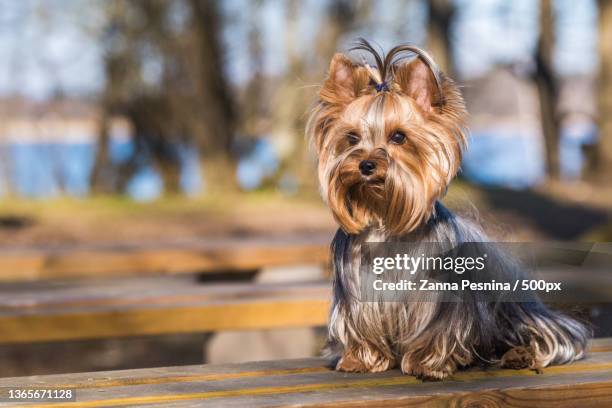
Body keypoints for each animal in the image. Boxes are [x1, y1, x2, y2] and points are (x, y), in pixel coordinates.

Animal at [306, 39, 588, 380]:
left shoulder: (438, 299)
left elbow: (436, 330)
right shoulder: (358, 294)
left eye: (398, 136)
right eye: (351, 138)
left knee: (544, 339)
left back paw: (520, 355)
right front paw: (361, 359)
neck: (386, 219)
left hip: (522, 316)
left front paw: (427, 364)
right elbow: (361, 326)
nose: (366, 165)